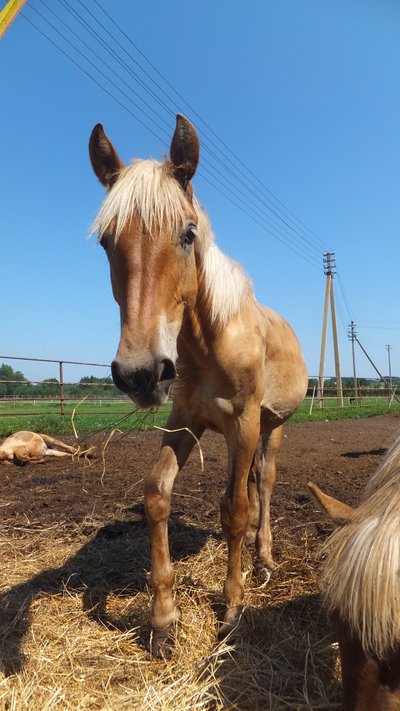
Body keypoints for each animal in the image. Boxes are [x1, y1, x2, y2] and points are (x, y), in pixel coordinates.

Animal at [89, 112, 308, 656]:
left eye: (188, 234)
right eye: (106, 241)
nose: (141, 372)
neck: (211, 340)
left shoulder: (243, 423)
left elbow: (235, 509)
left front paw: (231, 607)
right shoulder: (186, 419)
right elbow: (158, 493)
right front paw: (164, 618)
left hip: (272, 427)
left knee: (264, 484)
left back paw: (264, 557)